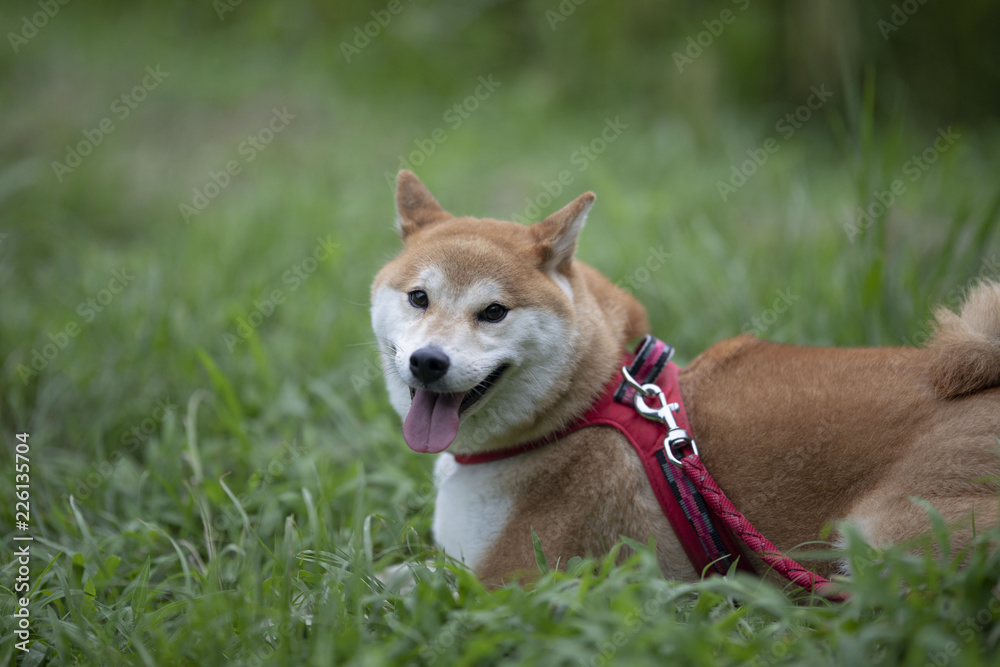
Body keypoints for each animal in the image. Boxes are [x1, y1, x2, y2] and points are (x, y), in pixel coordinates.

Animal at [374, 172, 1000, 584]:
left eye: (494, 312)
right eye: (419, 298)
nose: (428, 361)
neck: (586, 403)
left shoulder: (513, 581)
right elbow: (386, 574)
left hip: (878, 537)